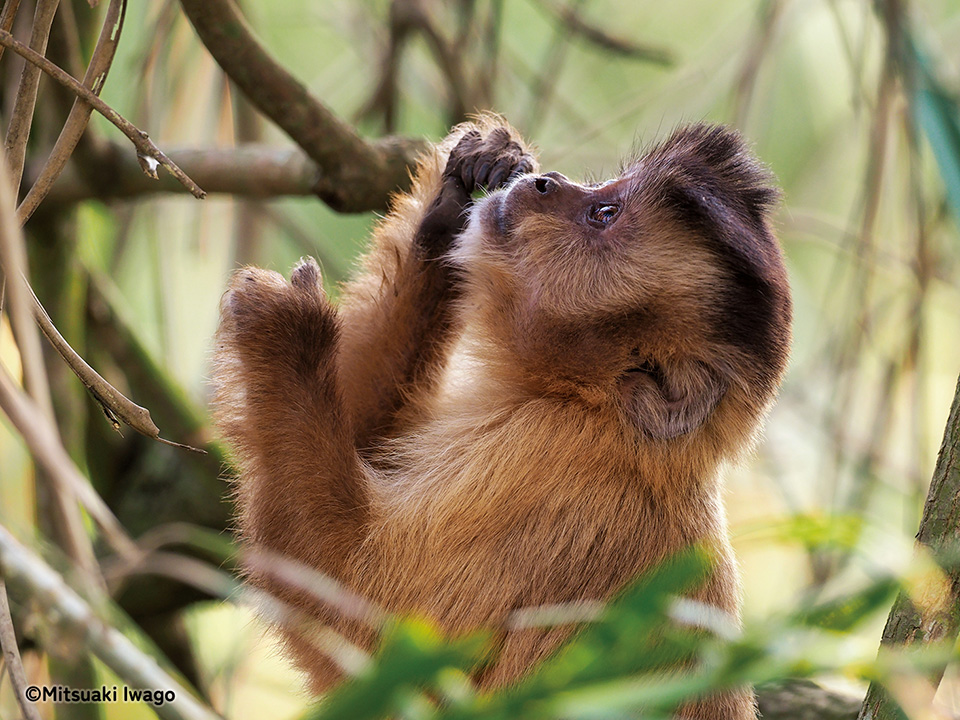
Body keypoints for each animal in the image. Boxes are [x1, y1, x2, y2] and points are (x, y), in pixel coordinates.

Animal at [214, 115, 792, 716]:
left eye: (603, 214)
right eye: (605, 189)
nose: (547, 182)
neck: (597, 408)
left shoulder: (549, 462)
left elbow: (379, 637)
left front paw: (290, 332)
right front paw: (455, 199)